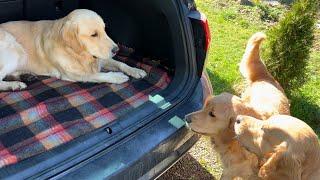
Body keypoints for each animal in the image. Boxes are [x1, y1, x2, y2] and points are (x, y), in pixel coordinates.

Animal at [0, 8, 147, 90]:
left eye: (104, 29)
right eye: (94, 34)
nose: (116, 50)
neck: (76, 53)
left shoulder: (100, 58)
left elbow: (121, 64)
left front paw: (135, 70)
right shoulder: (74, 74)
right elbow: (98, 75)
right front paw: (116, 76)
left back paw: (25, 75)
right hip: (15, 49)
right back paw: (14, 85)